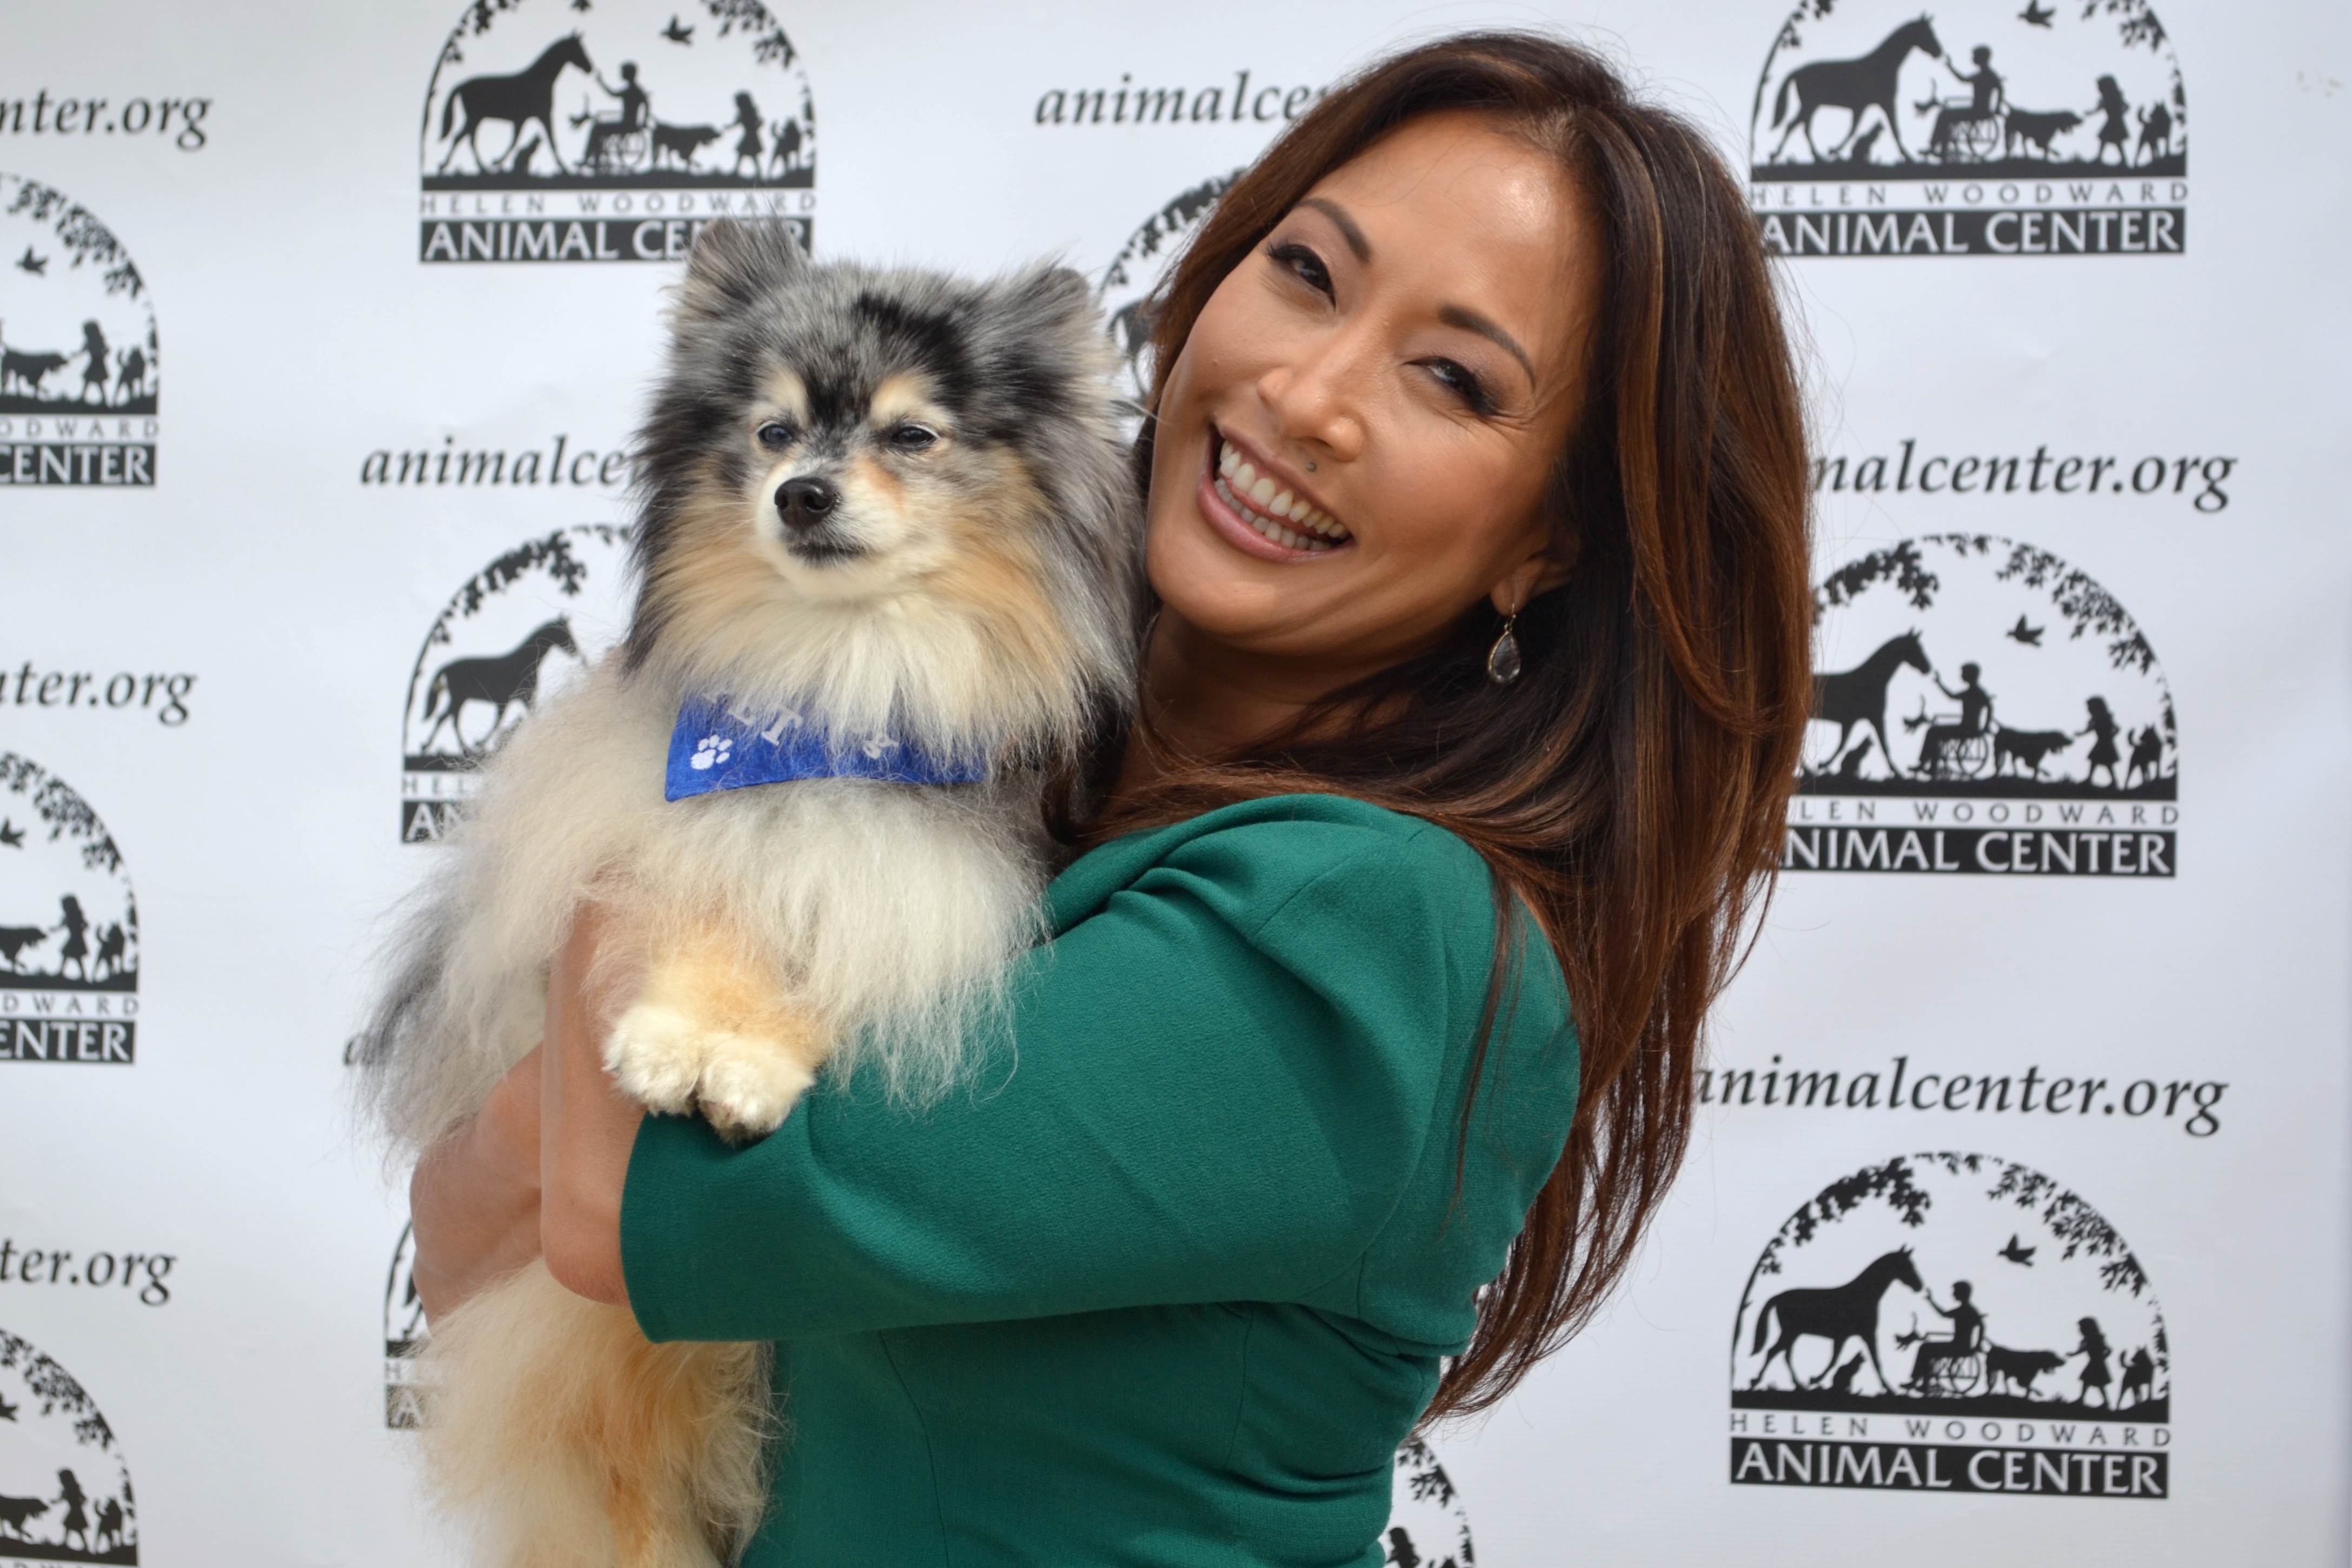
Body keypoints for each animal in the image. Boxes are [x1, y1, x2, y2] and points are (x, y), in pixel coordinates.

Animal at [353, 223, 1143, 1568]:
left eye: (911, 436)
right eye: (774, 433)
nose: (803, 495)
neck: (832, 696)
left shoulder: (917, 883)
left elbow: (838, 955)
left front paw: (752, 1062)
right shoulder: (670, 832)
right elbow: (707, 913)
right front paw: (679, 1039)